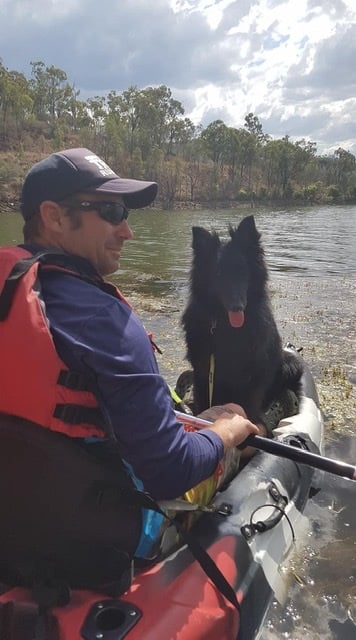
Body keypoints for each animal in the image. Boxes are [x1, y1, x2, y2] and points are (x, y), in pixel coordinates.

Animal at [182, 218, 302, 422]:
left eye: (242, 271)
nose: (237, 307)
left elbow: (248, 408)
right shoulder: (203, 374)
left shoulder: (251, 380)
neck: (227, 328)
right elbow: (205, 404)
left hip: (291, 365)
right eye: (218, 274)